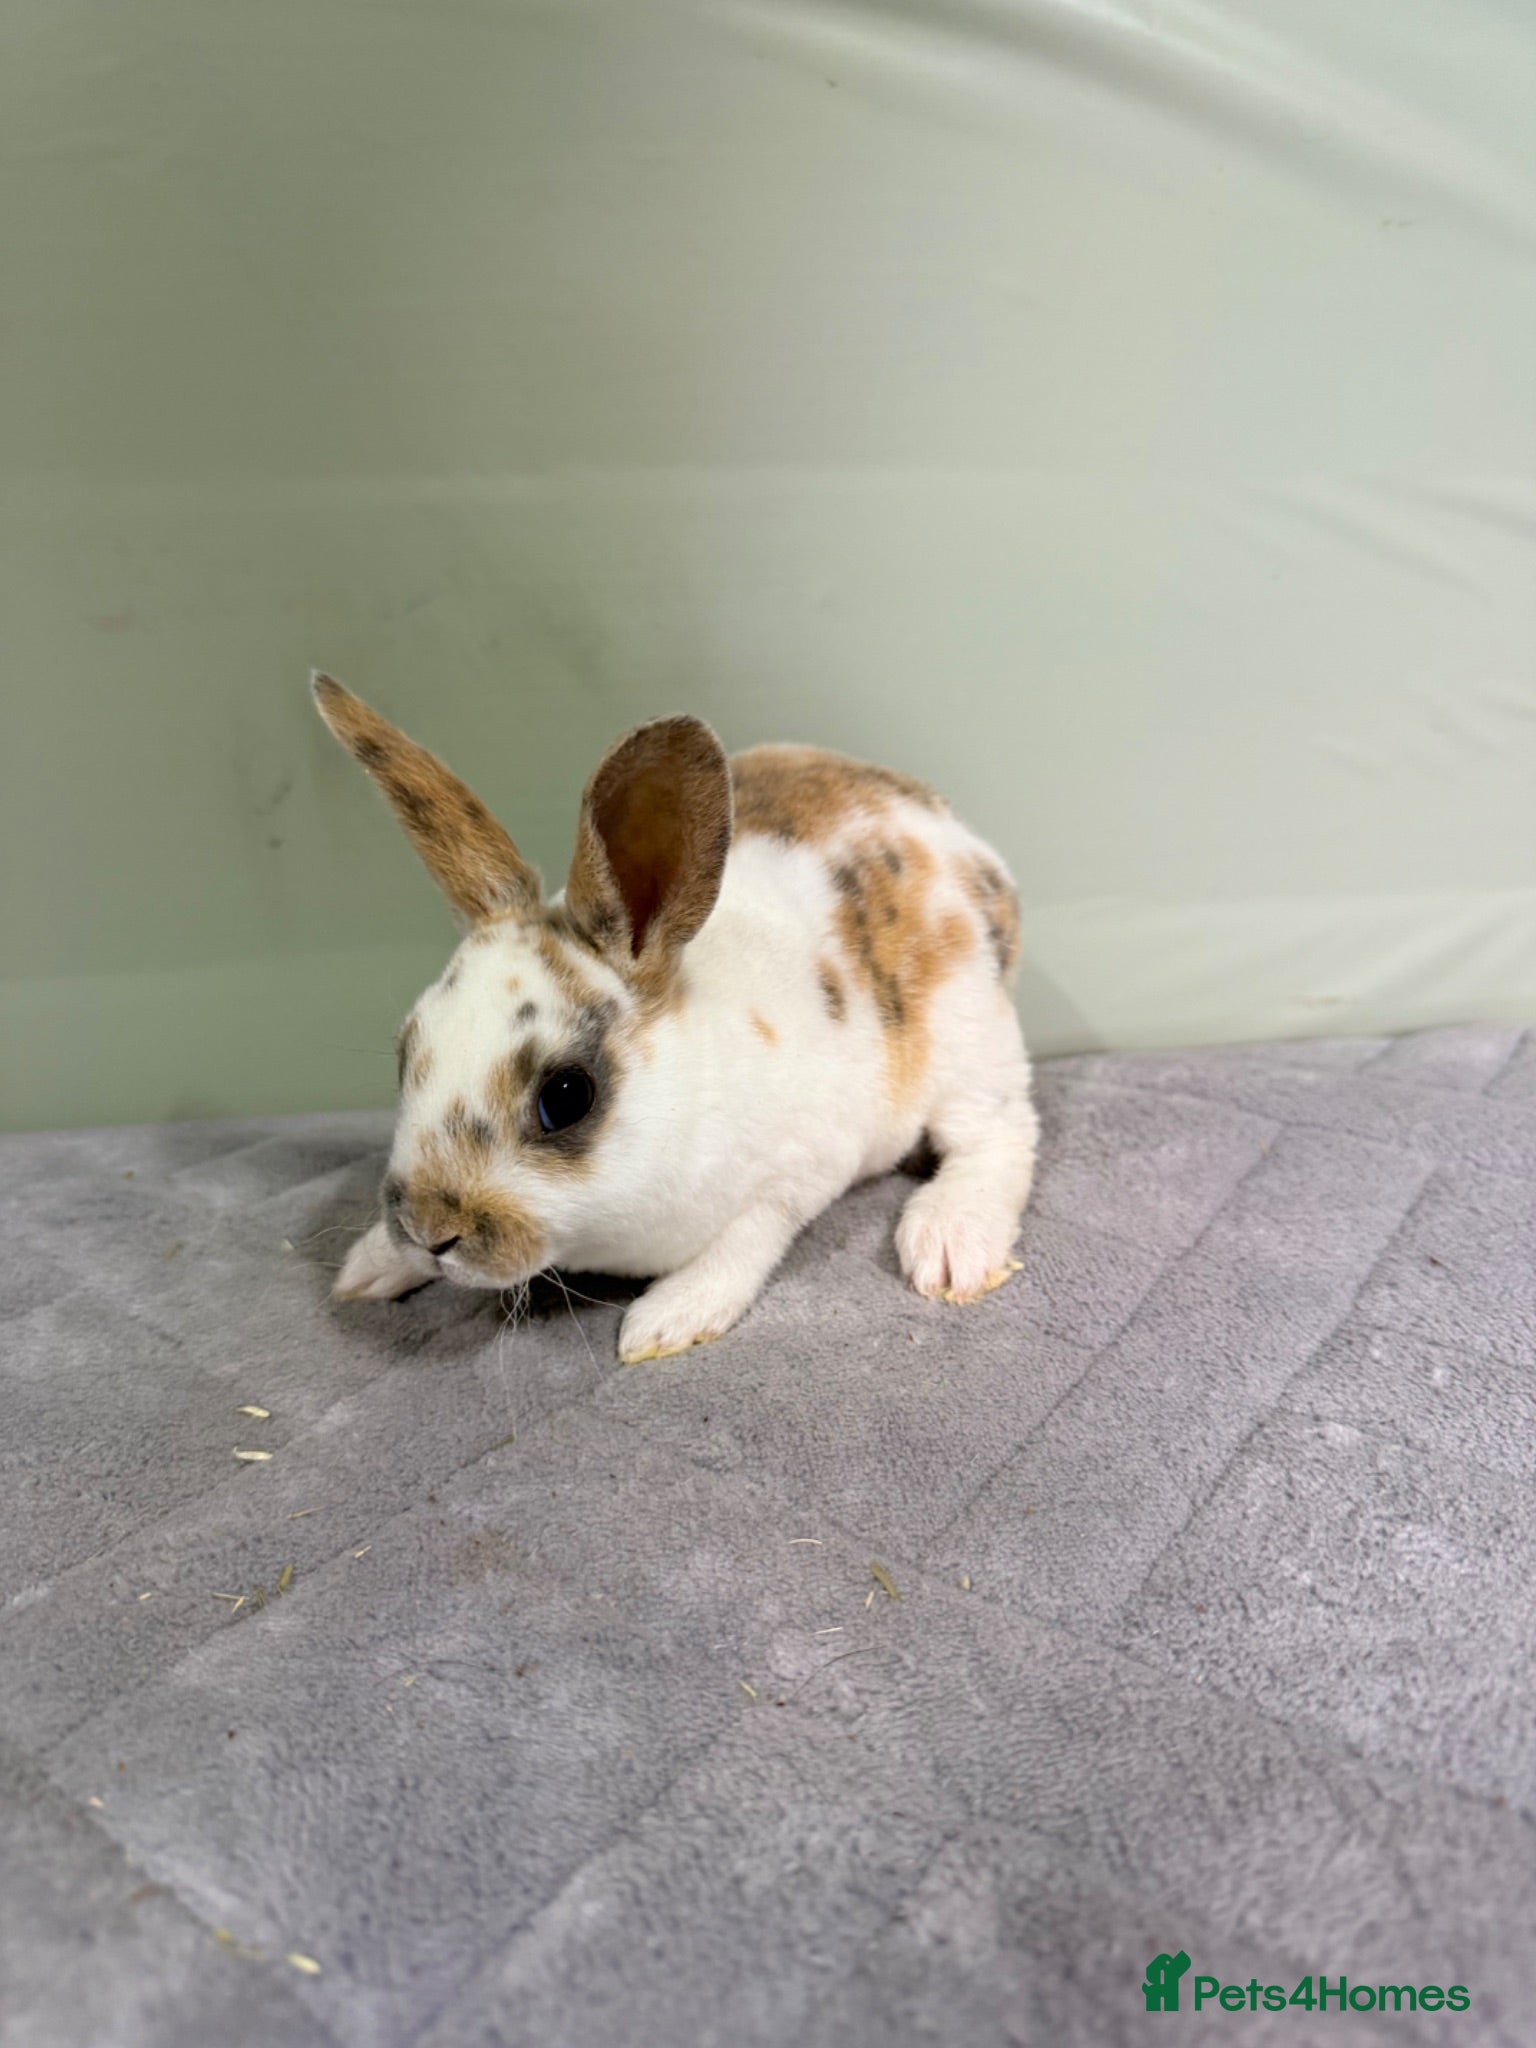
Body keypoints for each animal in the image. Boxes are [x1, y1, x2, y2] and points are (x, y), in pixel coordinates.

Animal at [312, 672, 1038, 1363]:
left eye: (565, 1097)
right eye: (407, 1054)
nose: (430, 1233)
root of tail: (967, 844)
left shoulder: (795, 1174)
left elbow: (746, 1241)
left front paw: (670, 1319)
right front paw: (370, 1266)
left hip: (972, 1048)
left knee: (1002, 1133)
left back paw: (951, 1243)